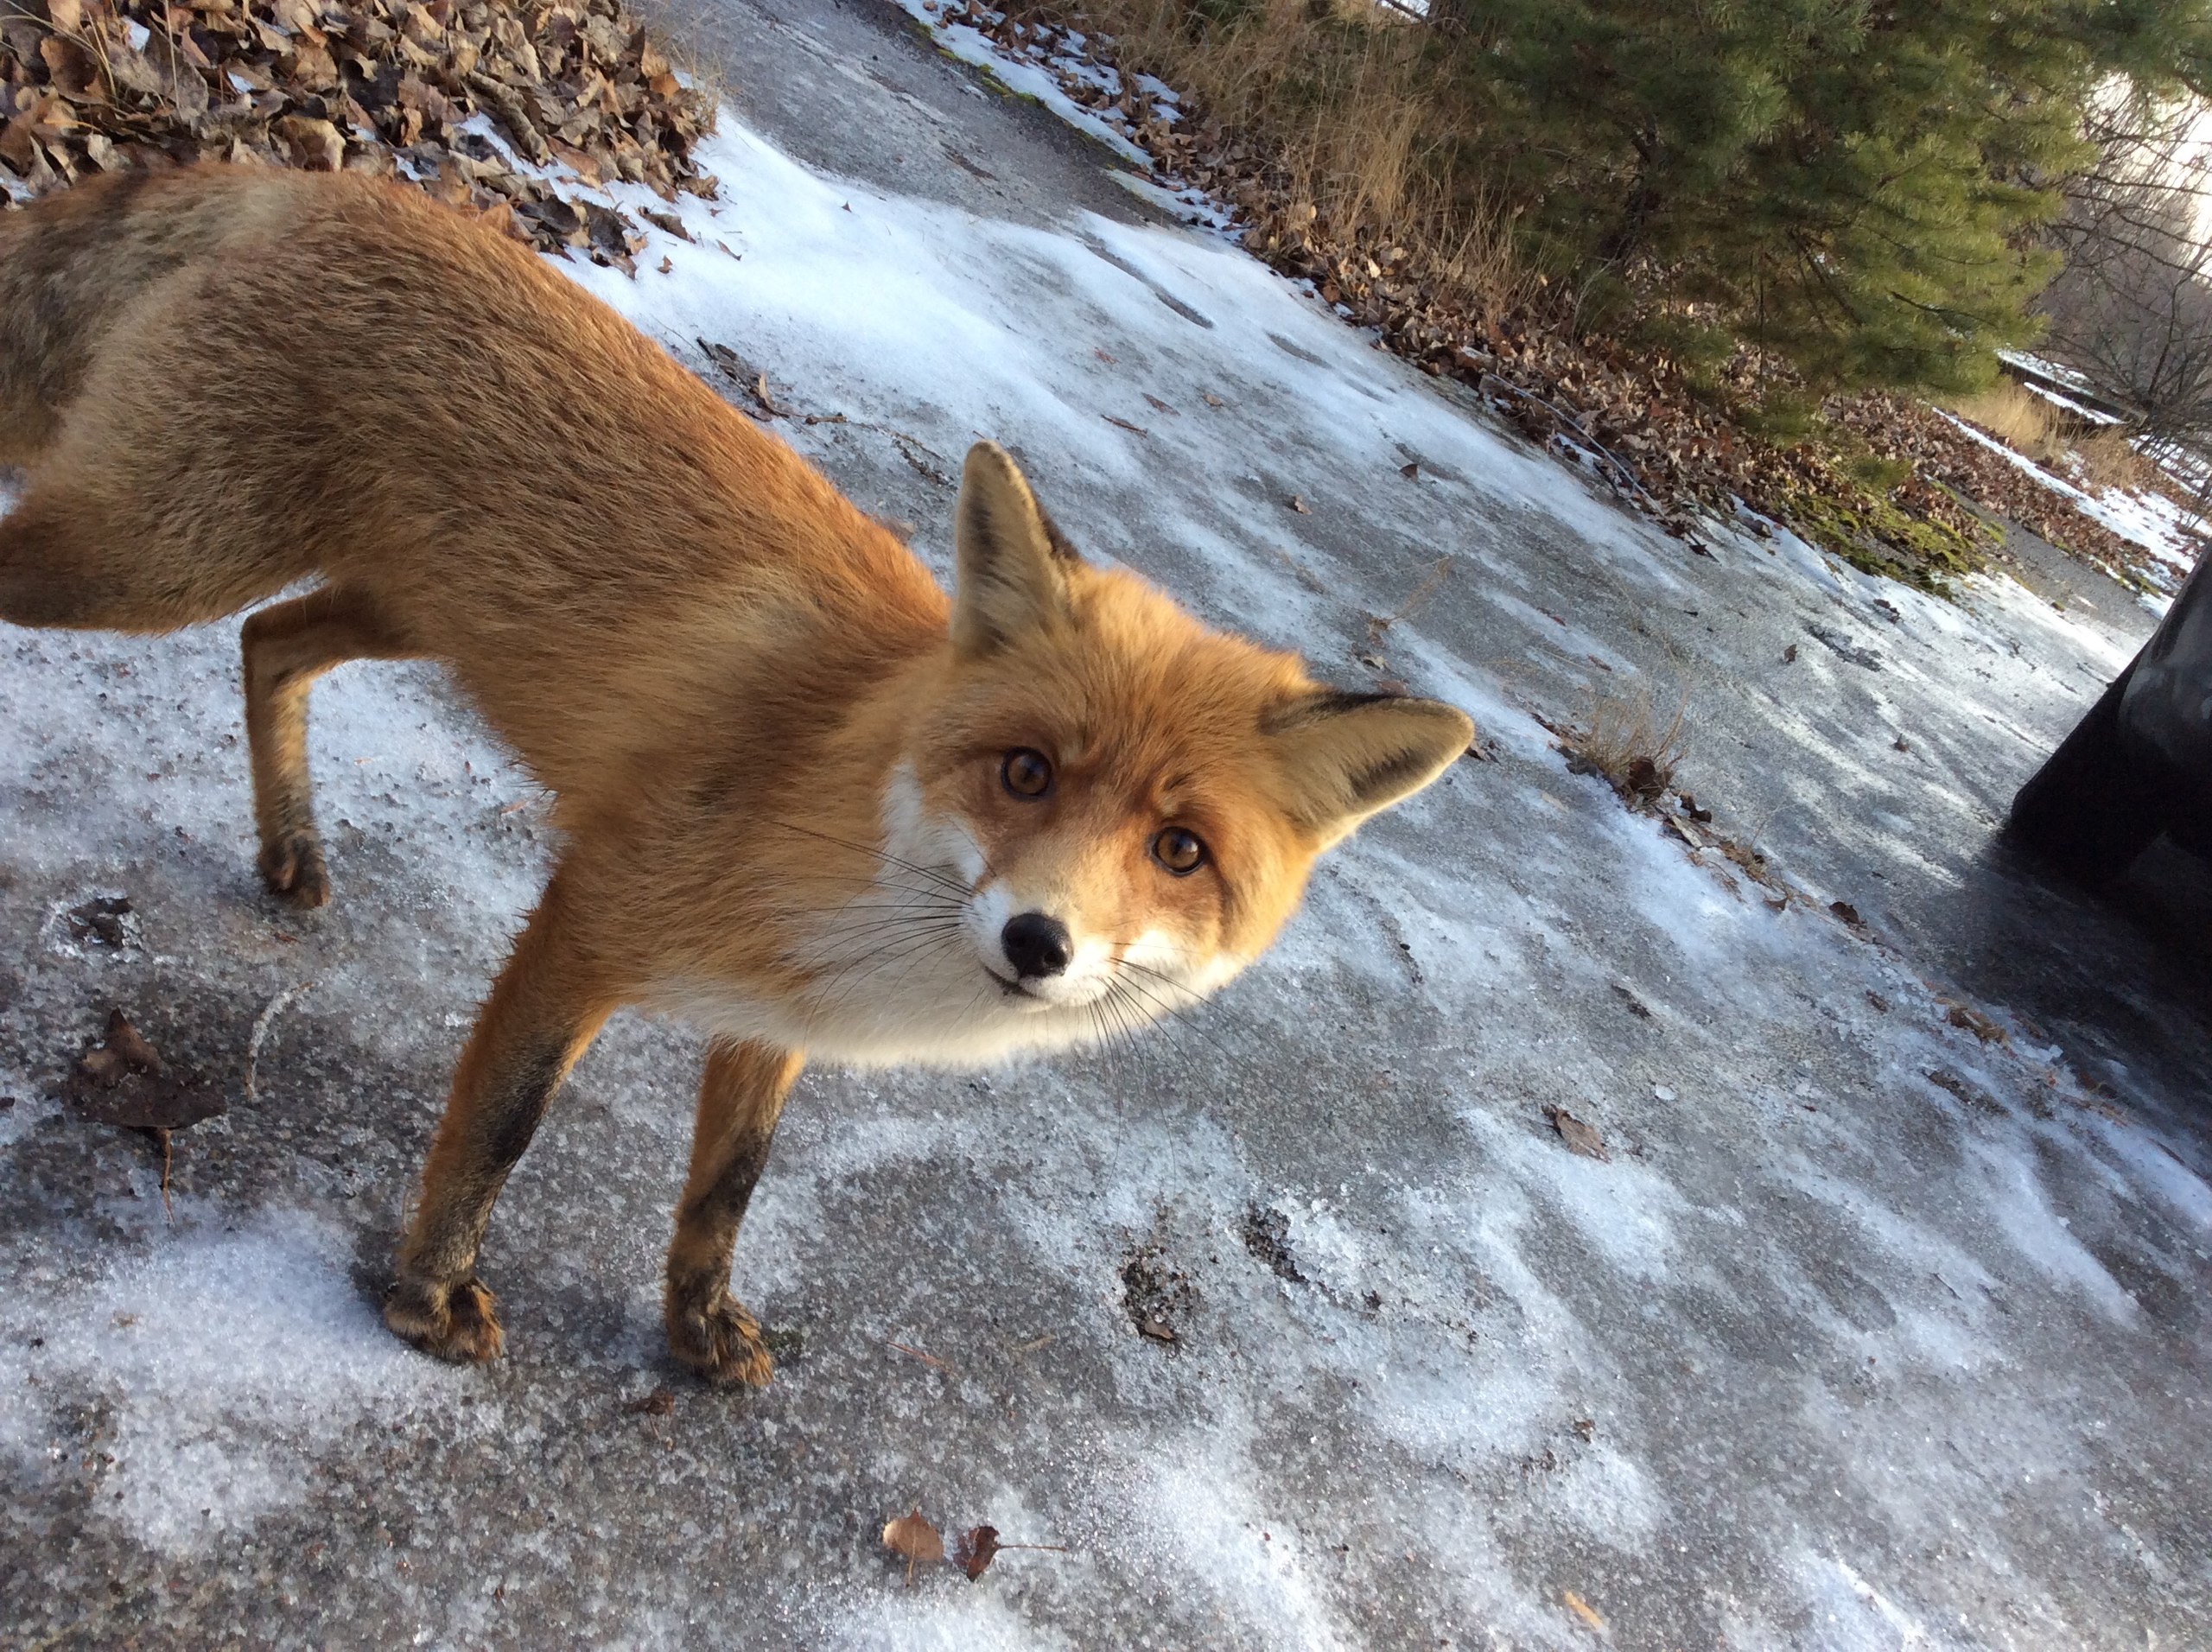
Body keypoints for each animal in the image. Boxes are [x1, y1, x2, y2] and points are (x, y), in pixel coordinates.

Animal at [0, 165, 1473, 1385]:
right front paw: (426, 1296)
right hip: (151, 560)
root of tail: (321, 181)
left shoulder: (772, 1014)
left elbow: (730, 1187)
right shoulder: (593, 914)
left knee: (270, 644)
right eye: (1027, 771)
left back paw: (290, 846)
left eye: (1180, 851)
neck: (843, 809)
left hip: (383, 606)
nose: (1039, 942)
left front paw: (693, 1325)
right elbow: (505, 1128)